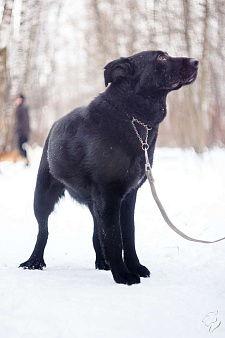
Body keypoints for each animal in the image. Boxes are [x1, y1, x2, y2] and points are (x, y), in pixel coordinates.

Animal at [19, 50, 199, 286]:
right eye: (160, 57)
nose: (196, 62)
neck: (131, 116)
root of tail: (55, 124)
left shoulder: (127, 197)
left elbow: (127, 235)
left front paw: (134, 267)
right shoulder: (109, 195)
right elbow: (115, 238)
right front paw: (122, 275)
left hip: (95, 204)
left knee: (97, 232)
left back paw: (102, 262)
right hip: (43, 196)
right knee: (43, 230)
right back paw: (35, 261)